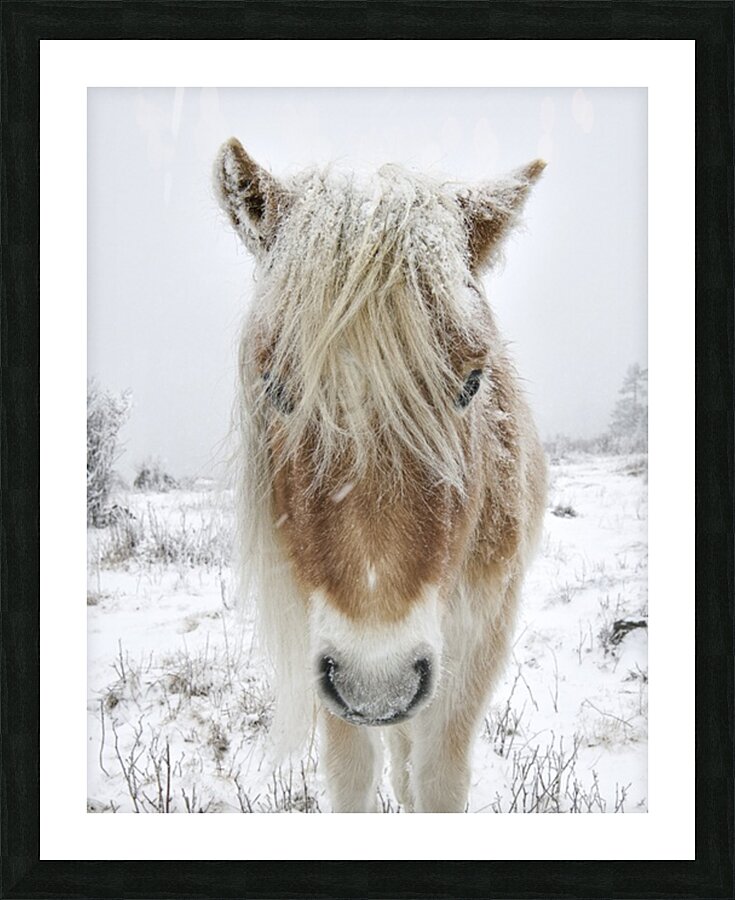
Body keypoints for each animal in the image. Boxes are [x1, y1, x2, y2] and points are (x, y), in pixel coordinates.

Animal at [214, 138, 547, 813]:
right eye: (276, 388)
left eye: (472, 382)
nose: (379, 684)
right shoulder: (327, 654)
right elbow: (354, 775)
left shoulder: (476, 643)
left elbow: (440, 778)